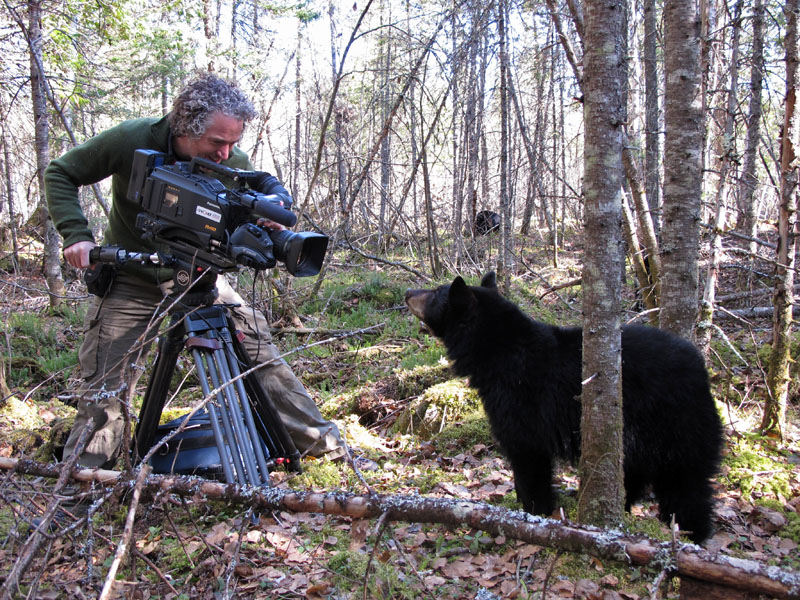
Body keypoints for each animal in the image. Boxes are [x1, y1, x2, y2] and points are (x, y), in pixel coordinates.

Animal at [405, 272, 723, 543]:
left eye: (437, 292)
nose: (408, 292)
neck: (497, 353)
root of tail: (701, 368)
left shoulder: (522, 401)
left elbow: (528, 456)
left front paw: (533, 511)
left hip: (675, 423)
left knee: (685, 483)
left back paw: (691, 534)